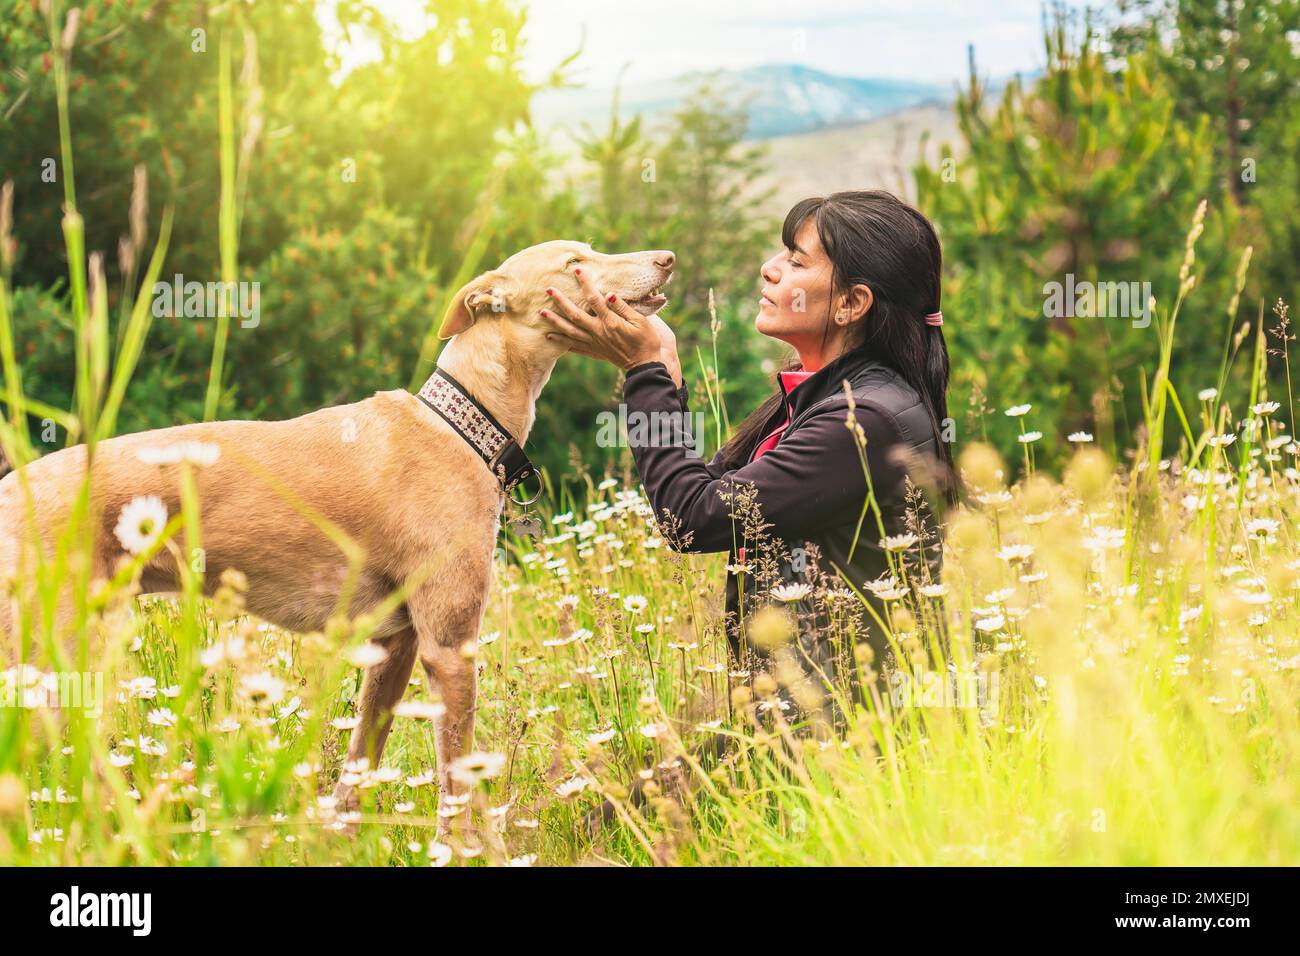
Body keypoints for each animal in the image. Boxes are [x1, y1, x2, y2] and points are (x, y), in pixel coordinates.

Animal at [5, 240, 681, 837]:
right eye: (575, 262)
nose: (666, 258)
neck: (461, 426)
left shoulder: (394, 647)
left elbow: (358, 770)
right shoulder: (448, 646)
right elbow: (458, 786)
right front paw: (467, 849)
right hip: (46, 663)